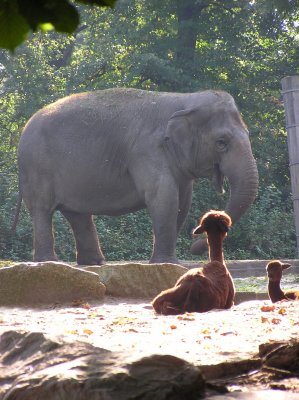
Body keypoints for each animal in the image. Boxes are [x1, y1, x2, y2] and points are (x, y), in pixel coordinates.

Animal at [17, 86, 258, 266]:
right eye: (221, 142)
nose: (194, 241)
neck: (183, 100)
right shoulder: (147, 149)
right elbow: (164, 197)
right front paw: (168, 263)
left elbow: (182, 202)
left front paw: (171, 261)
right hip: (37, 168)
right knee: (42, 209)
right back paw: (49, 262)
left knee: (78, 215)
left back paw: (94, 263)